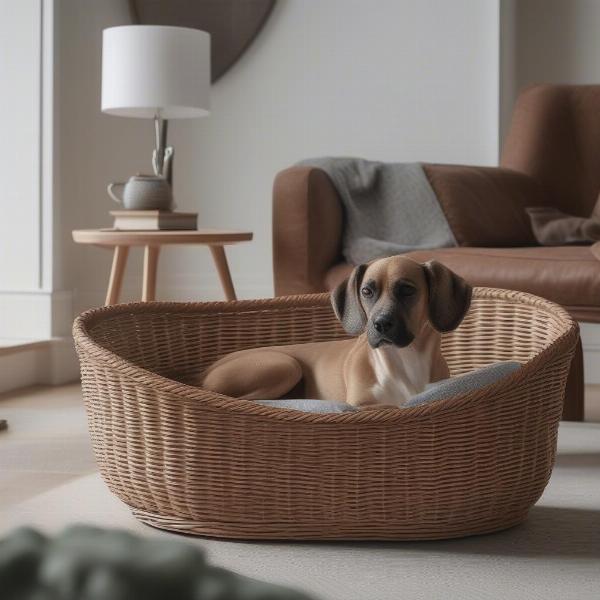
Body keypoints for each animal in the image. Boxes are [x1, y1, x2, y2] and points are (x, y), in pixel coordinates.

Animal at [203, 255, 474, 410]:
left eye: (407, 290)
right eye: (366, 291)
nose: (380, 324)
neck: (404, 360)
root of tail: (206, 371)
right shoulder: (364, 406)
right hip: (285, 365)